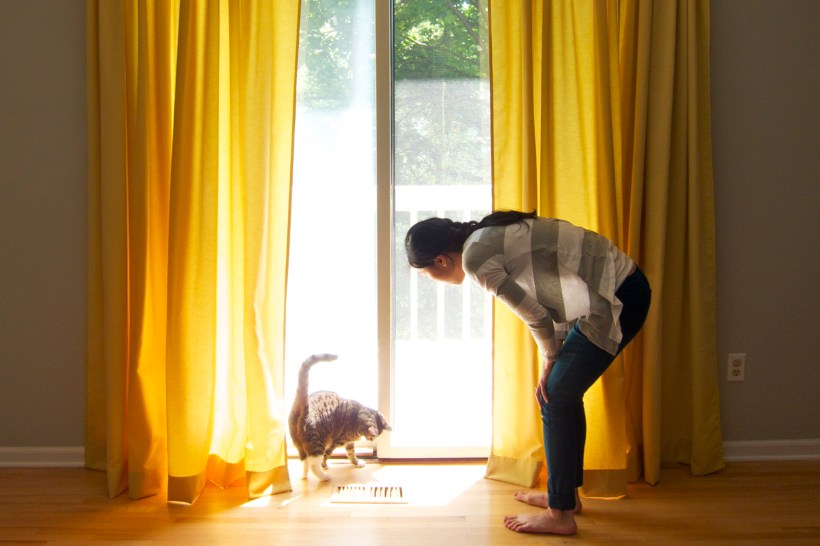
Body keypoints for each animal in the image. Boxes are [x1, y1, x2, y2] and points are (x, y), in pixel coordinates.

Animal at [288, 350, 390, 478]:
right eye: (373, 437)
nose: (371, 441)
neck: (356, 416)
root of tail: (303, 405)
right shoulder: (337, 442)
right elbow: (327, 455)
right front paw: (324, 466)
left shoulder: (349, 443)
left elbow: (351, 454)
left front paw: (357, 463)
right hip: (317, 443)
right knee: (313, 464)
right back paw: (324, 477)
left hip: (300, 445)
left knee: (304, 460)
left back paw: (304, 476)